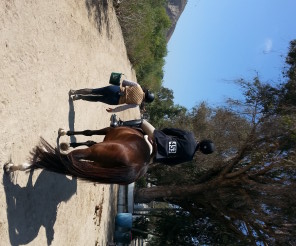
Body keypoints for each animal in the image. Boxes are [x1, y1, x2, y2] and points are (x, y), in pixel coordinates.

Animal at [4, 127, 153, 184]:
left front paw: (63, 134)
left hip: (91, 153)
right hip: (97, 165)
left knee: (64, 159)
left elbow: (89, 132)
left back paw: (13, 166)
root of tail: (137, 167)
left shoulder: (107, 130)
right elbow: (89, 139)